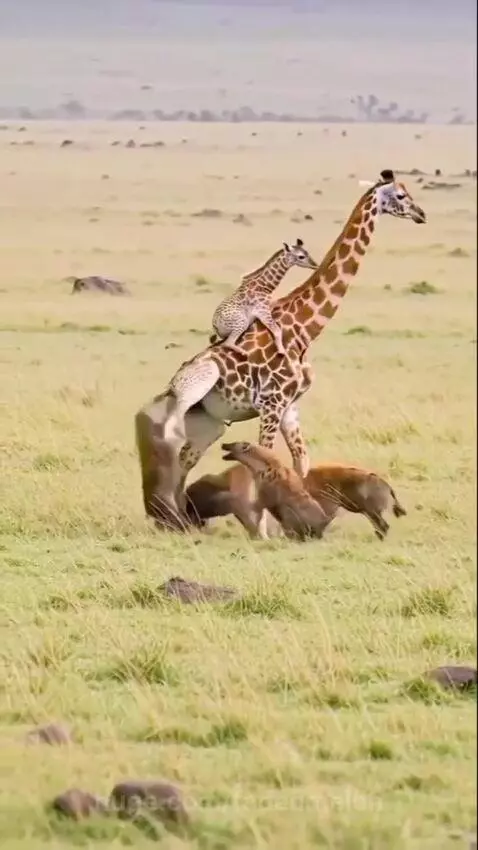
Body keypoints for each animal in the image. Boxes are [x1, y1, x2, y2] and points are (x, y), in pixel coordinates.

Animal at [136, 169, 426, 523]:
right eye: (400, 195)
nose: (421, 214)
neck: (304, 330)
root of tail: (170, 386)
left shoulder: (291, 406)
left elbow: (302, 463)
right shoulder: (271, 404)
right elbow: (265, 457)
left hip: (210, 423)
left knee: (185, 457)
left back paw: (180, 519)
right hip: (198, 390)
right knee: (171, 442)